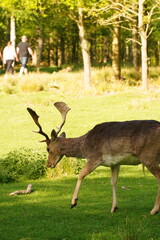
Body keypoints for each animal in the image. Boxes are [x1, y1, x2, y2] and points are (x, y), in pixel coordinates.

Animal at [26, 101, 160, 216]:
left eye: (48, 148)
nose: (48, 164)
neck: (84, 146)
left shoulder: (94, 157)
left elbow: (81, 174)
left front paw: (73, 202)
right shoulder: (115, 163)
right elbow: (113, 182)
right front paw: (114, 208)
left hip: (148, 156)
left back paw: (154, 210)